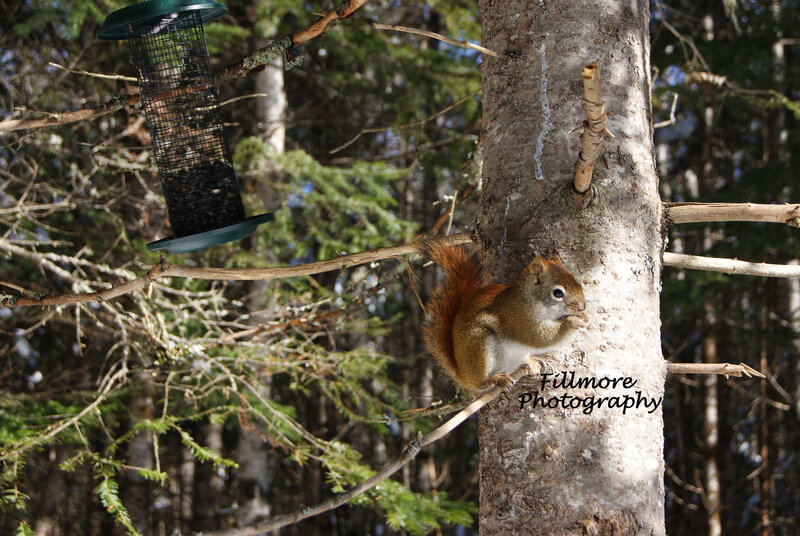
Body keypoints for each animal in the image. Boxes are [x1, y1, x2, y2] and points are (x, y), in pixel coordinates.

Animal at [419, 241, 588, 392]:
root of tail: (462, 373)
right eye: (558, 293)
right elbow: (540, 338)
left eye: (575, 280)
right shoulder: (519, 320)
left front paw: (583, 317)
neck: (529, 299)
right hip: (479, 343)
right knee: (478, 384)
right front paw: (572, 322)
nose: (582, 306)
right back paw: (493, 380)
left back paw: (530, 363)